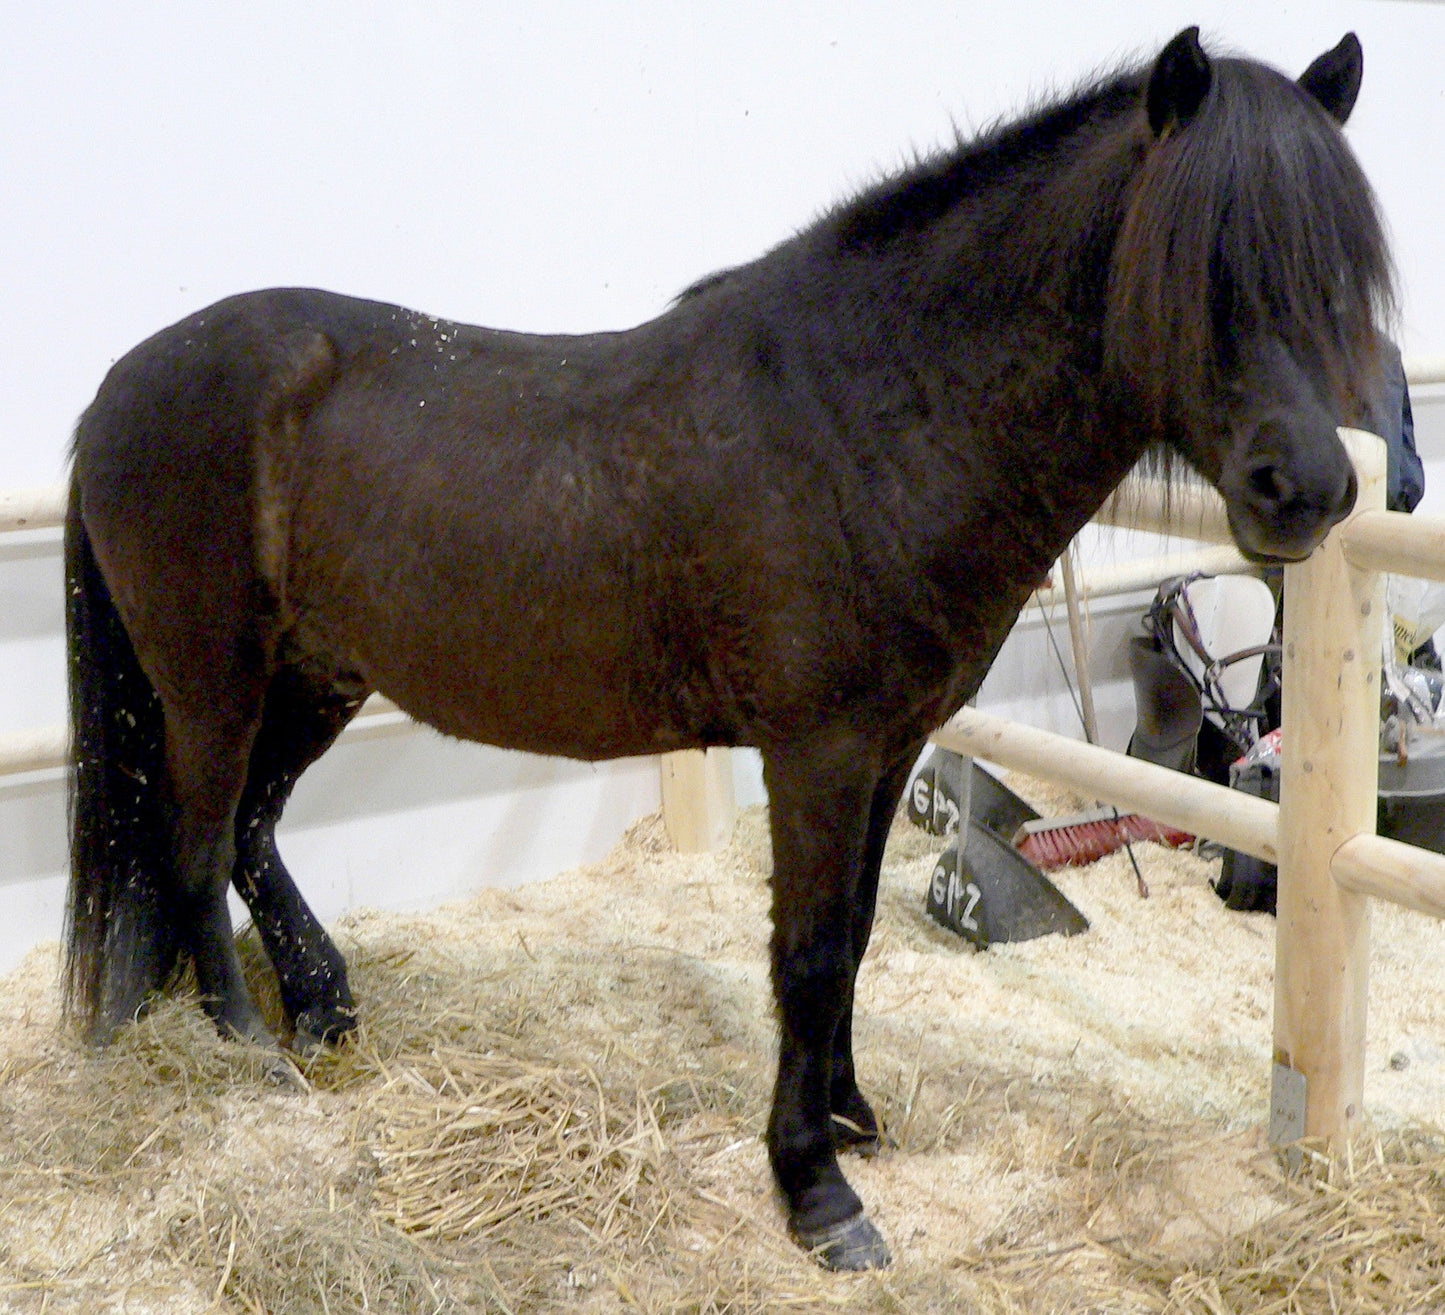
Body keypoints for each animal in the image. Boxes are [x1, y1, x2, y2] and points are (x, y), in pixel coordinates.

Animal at [62, 28, 1392, 1270]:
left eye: (1335, 268)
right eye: (1202, 261)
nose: (1308, 489)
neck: (867, 416)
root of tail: (120, 385)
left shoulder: (889, 746)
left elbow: (850, 936)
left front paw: (850, 1117)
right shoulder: (816, 751)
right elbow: (801, 953)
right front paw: (814, 1191)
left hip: (317, 676)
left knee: (249, 830)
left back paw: (323, 1008)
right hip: (213, 685)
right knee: (195, 843)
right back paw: (248, 1045)